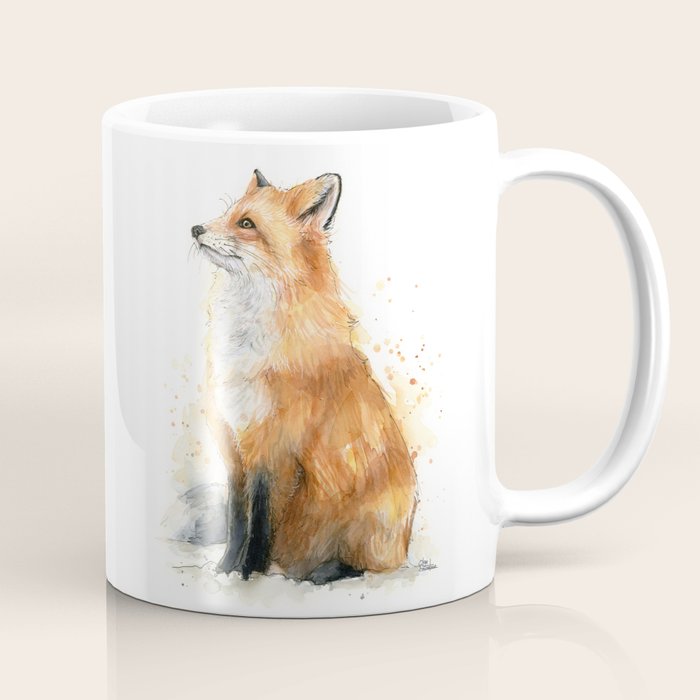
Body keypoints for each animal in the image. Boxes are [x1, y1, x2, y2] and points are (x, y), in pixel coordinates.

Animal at [190, 169, 417, 585]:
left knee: (368, 567)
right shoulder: (235, 446)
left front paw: (249, 575)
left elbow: (260, 523)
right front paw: (225, 571)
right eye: (228, 214)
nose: (196, 229)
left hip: (373, 524)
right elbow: (236, 520)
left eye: (246, 224)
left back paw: (322, 573)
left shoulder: (273, 449)